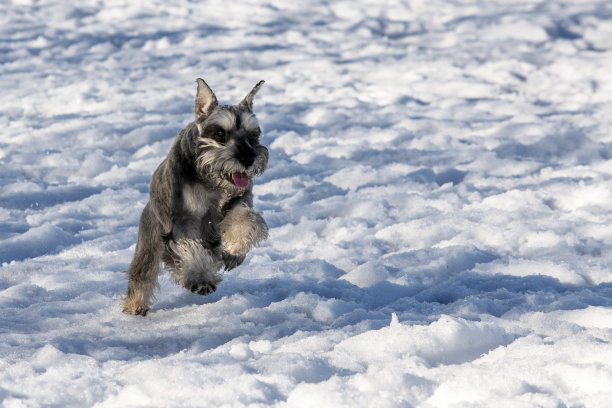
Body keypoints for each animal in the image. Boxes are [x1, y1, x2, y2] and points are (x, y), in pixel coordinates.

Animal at [122, 79, 268, 316]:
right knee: (142, 274)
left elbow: (246, 220)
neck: (210, 179)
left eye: (253, 135)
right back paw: (135, 306)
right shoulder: (182, 221)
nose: (248, 158)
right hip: (150, 242)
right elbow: (189, 248)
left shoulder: (238, 200)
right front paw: (200, 280)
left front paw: (234, 252)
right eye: (219, 133)